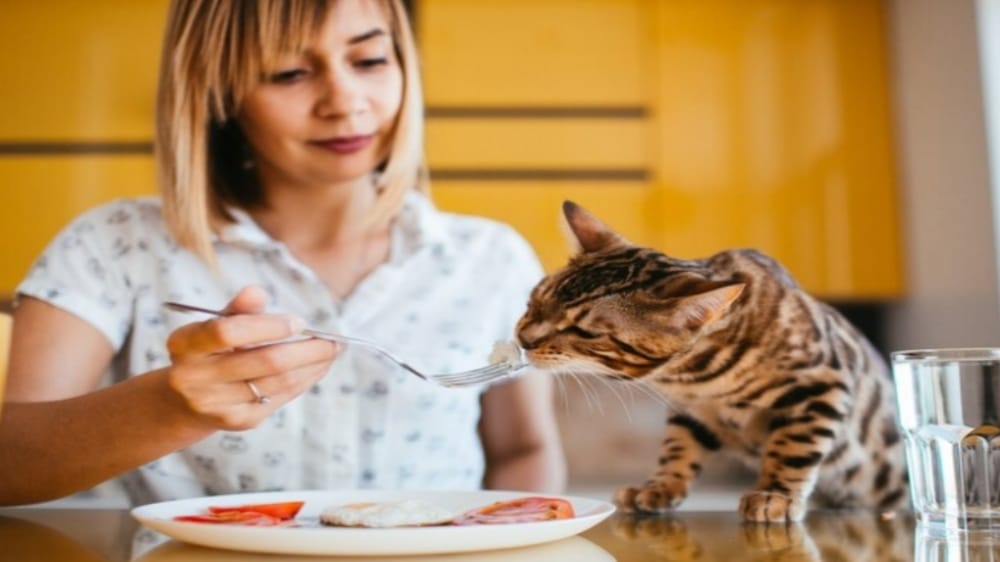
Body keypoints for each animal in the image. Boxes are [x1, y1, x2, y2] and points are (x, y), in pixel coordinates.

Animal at [516, 201, 908, 520]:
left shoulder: (823, 384)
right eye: (535, 299)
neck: (693, 377)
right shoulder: (690, 411)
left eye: (585, 332)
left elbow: (793, 448)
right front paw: (659, 488)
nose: (523, 338)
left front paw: (775, 494)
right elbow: (678, 449)